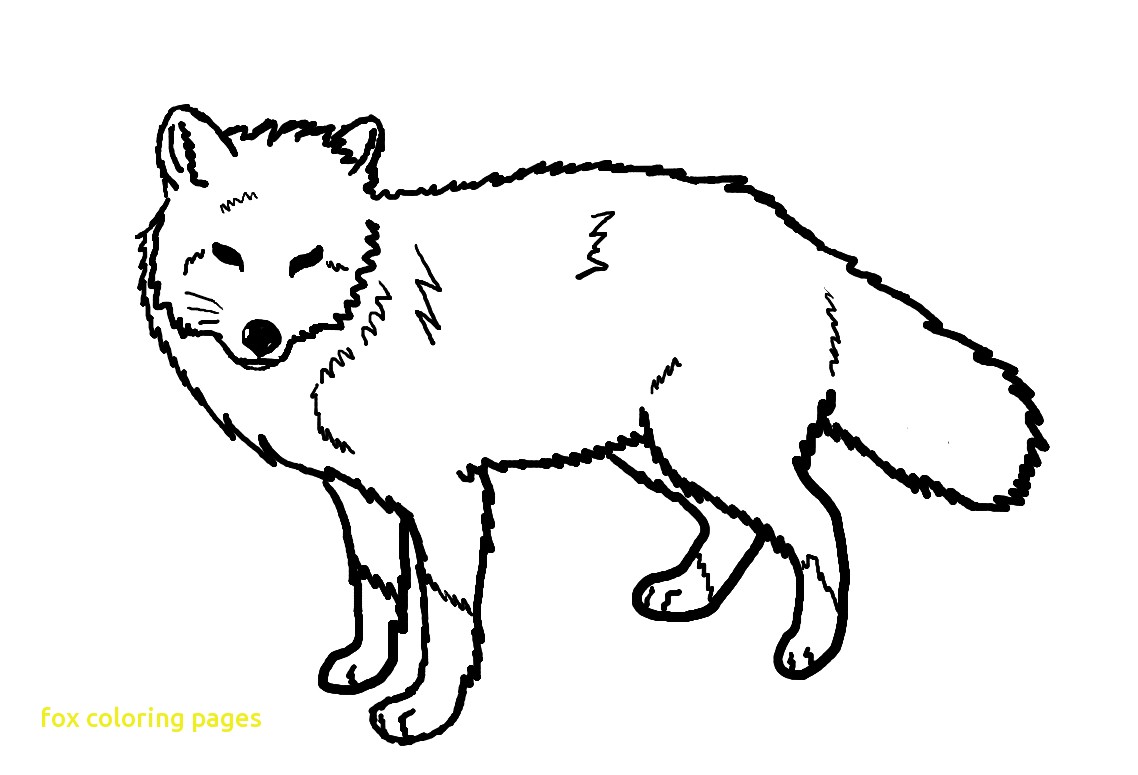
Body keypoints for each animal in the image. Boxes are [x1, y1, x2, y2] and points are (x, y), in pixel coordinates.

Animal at [138, 104, 1047, 744]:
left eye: (306, 261)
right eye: (227, 256)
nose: (260, 335)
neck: (358, 320)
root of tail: (808, 247)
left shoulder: (446, 494)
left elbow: (447, 615)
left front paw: (425, 710)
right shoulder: (358, 494)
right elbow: (378, 590)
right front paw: (366, 666)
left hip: (698, 450)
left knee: (820, 520)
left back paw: (810, 648)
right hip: (652, 453)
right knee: (743, 527)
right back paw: (688, 592)